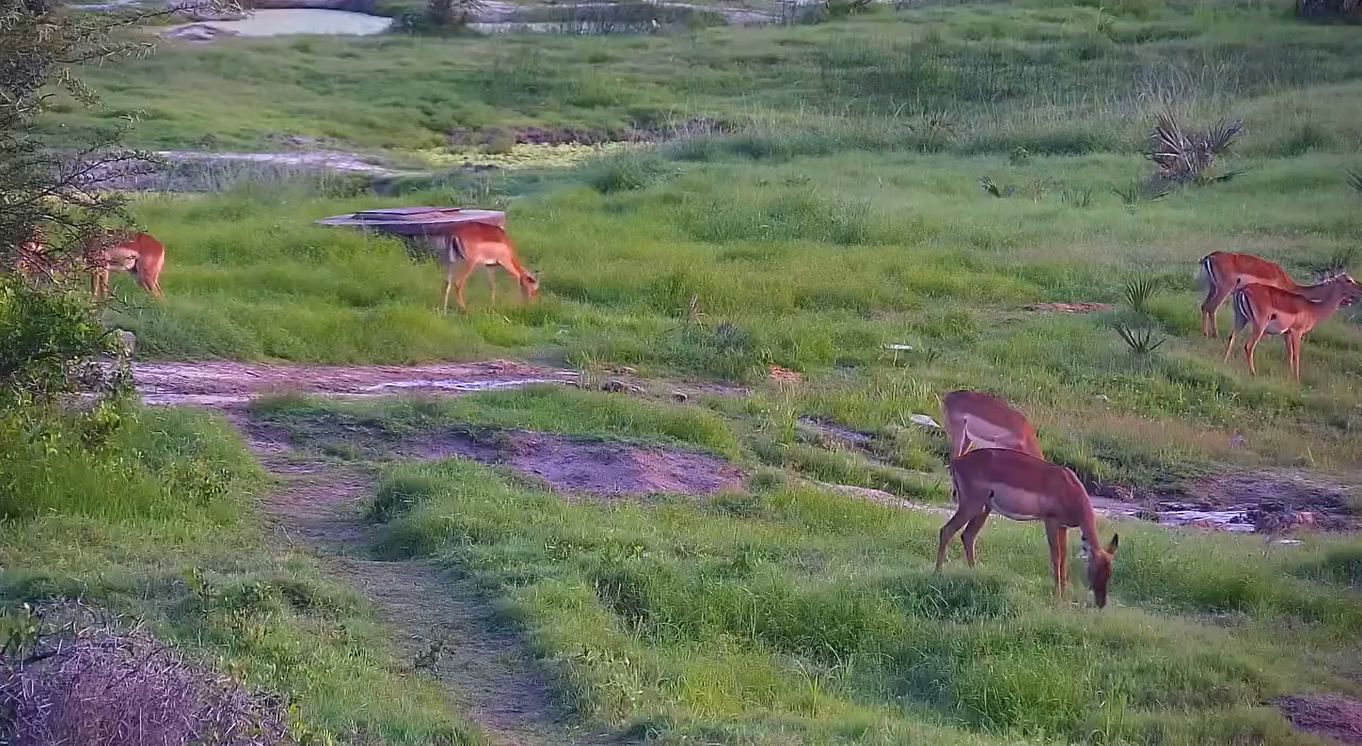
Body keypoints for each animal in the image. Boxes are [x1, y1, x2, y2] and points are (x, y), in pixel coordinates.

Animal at [411, 221, 539, 314]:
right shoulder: (506, 262)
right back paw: (465, 310)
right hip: (469, 263)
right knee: (458, 283)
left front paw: (492, 305)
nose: (534, 302)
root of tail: (453, 234)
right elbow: (518, 276)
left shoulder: (489, 266)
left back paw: (444, 311)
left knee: (446, 283)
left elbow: (492, 285)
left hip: (450, 261)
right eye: (534, 289)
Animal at [937, 449, 1116, 607]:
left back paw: (973, 574)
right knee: (946, 530)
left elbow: (1064, 559)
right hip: (971, 505)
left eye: (1109, 573)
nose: (1101, 603)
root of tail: (957, 462)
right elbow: (1056, 557)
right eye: (1094, 570)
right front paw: (1058, 597)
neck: (1071, 489)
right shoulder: (1051, 521)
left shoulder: (1062, 527)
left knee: (968, 535)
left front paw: (1064, 596)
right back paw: (938, 573)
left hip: (984, 509)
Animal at [1204, 254, 1340, 338]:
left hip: (1213, 289)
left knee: (1204, 306)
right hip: (1223, 290)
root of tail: (1209, 257)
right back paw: (1214, 335)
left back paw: (1205, 333)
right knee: (1212, 307)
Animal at [1225, 272, 1362, 378]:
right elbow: (1296, 354)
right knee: (1248, 346)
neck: (1312, 308)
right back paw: (1253, 373)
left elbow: (1289, 353)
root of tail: (1243, 290)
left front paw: (1290, 375)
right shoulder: (1297, 332)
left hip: (1241, 319)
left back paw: (1225, 361)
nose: (1360, 289)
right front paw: (1296, 378)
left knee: (1232, 337)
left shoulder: (1287, 333)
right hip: (1259, 326)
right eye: (1348, 280)